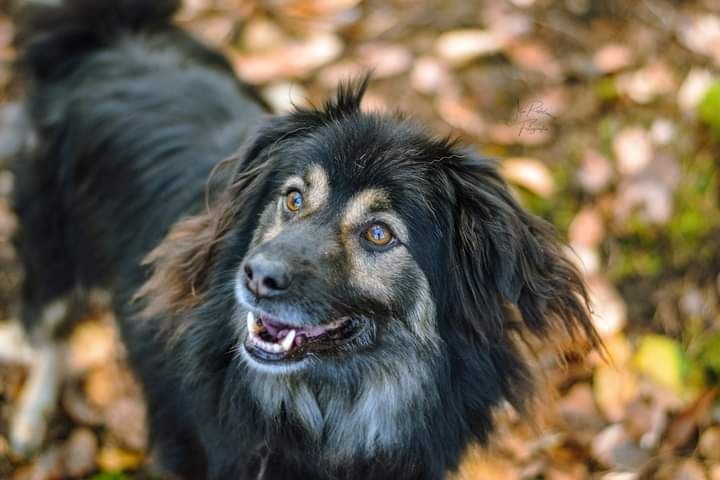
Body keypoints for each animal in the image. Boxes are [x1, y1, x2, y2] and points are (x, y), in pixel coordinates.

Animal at [9, 1, 600, 478]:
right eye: (293, 199)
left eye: (379, 234)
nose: (256, 276)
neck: (330, 411)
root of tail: (111, 34)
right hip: (50, 244)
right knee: (47, 329)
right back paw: (29, 418)